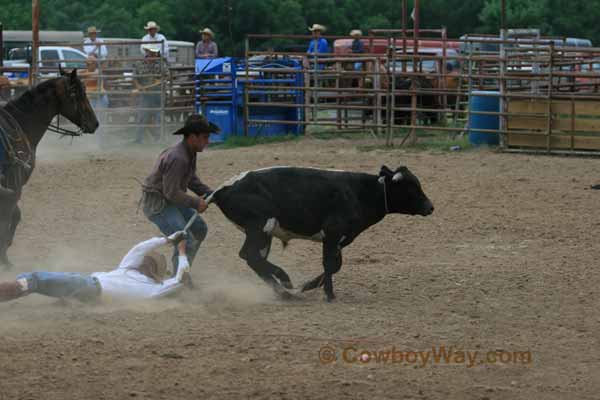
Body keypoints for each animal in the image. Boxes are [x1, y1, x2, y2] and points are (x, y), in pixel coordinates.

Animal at [0, 69, 98, 268]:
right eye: (80, 93)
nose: (95, 123)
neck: (21, 124)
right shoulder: (15, 186)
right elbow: (10, 217)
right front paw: (5, 258)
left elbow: (14, 216)